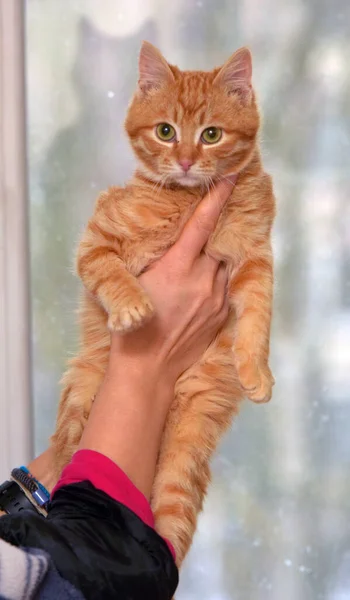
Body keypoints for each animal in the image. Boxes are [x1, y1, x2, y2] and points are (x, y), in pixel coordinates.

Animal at [51, 41, 276, 564]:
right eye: (165, 132)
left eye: (211, 135)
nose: (188, 161)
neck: (189, 202)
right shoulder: (97, 239)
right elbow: (108, 270)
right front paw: (133, 307)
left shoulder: (255, 259)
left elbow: (258, 315)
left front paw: (256, 368)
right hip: (83, 396)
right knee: (69, 445)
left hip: (191, 437)